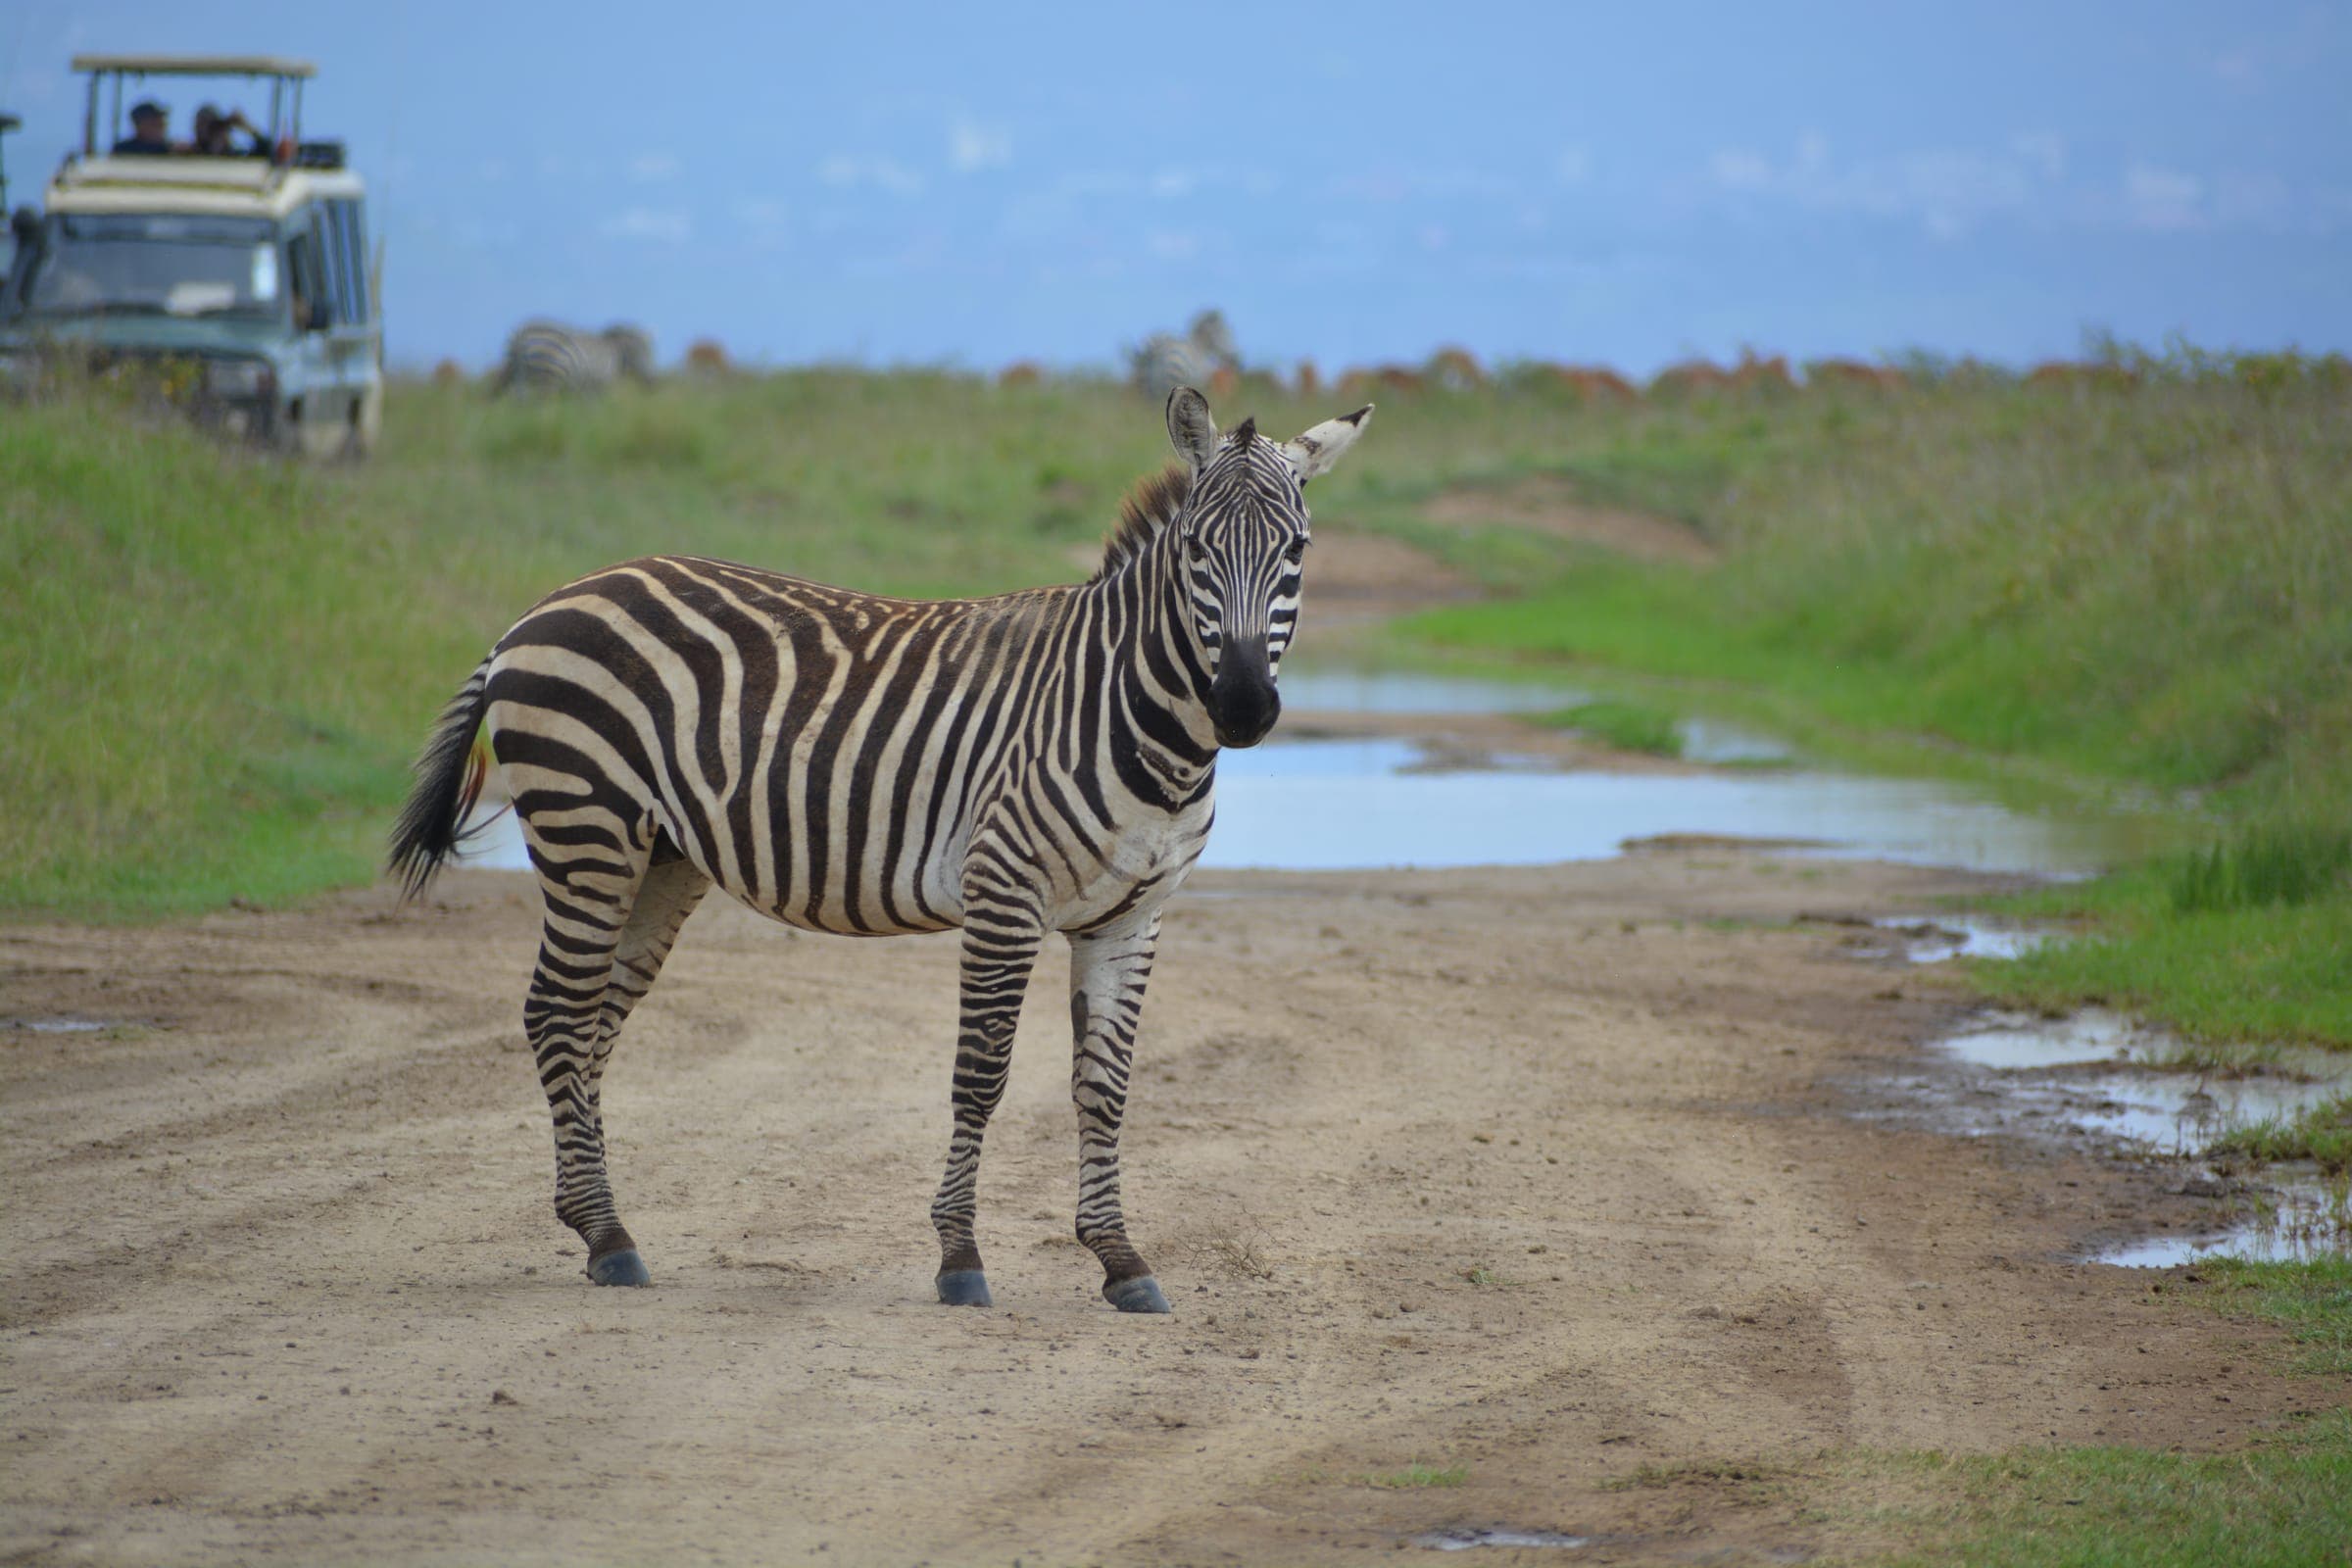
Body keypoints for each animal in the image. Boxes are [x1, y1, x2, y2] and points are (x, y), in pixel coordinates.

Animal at [388, 387, 1373, 1312]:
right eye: (1197, 552)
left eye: (1297, 552)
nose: (1242, 706)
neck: (1138, 720)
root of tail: (546, 604)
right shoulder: (1003, 891)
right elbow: (982, 1076)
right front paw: (960, 1259)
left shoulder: (1132, 916)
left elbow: (1105, 1088)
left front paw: (1121, 1261)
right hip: (584, 828)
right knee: (556, 1014)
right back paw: (608, 1237)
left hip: (656, 859)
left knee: (590, 1023)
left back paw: (596, 1227)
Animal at [490, 320, 657, 395]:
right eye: (645, 352)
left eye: (651, 353)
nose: (651, 382)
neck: (616, 352)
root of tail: (521, 336)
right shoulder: (599, 383)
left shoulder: (586, 387)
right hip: (548, 376)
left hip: (517, 376)